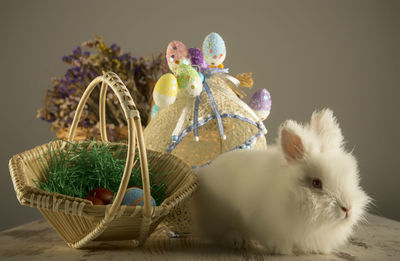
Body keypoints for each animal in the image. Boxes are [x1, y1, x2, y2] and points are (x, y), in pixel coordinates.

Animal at [192, 108, 370, 253]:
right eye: (316, 183)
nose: (347, 209)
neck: (290, 194)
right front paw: (282, 250)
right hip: (218, 217)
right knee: (218, 233)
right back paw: (238, 240)